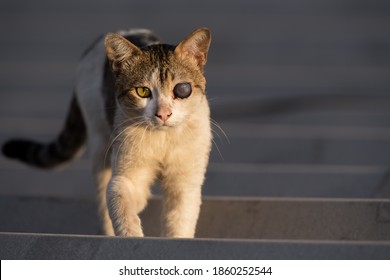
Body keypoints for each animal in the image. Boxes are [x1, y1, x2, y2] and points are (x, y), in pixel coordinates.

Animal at [1, 27, 212, 238]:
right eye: (143, 92)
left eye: (182, 89)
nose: (163, 113)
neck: (163, 140)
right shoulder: (125, 178)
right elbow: (122, 207)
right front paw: (131, 236)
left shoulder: (185, 183)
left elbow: (178, 223)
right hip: (100, 146)